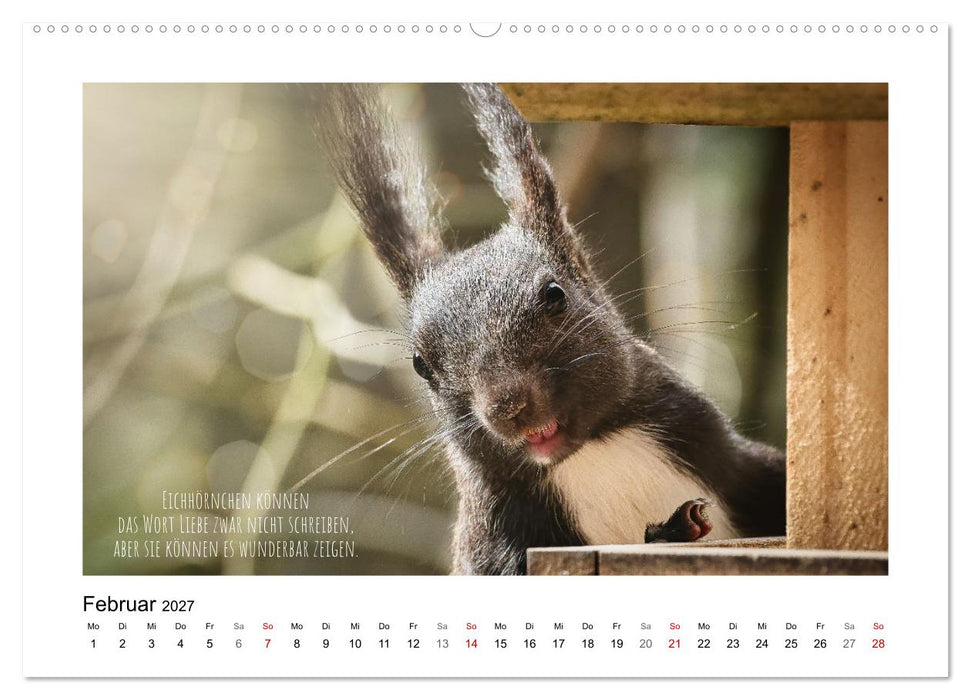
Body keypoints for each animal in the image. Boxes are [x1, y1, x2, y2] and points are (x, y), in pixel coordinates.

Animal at [314, 83, 786, 575]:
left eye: (555, 295)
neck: (593, 454)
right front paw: (670, 531)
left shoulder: (731, 457)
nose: (508, 407)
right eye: (420, 363)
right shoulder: (493, 545)